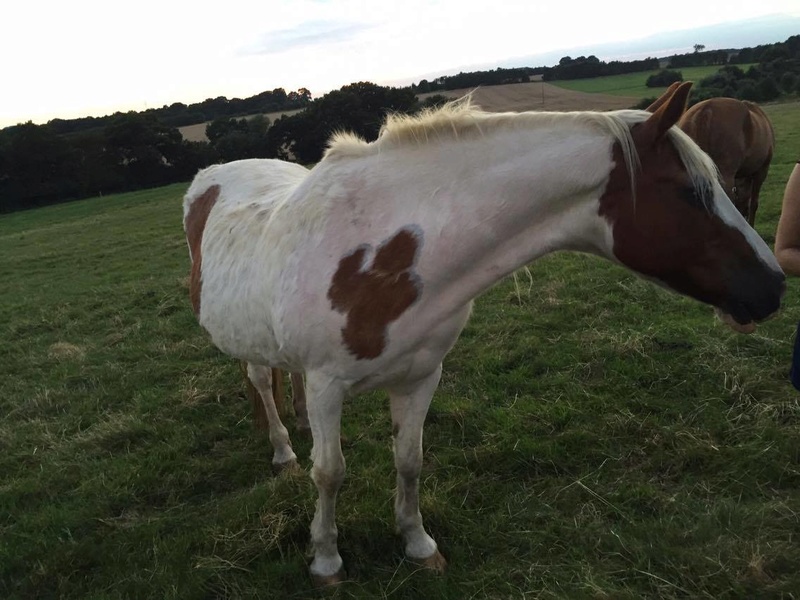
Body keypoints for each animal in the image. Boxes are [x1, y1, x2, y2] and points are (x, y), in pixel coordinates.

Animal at [184, 84, 784, 584]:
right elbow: (330, 473)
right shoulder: (327, 385)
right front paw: (327, 560)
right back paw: (283, 448)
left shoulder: (420, 376)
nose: (774, 285)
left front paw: (418, 545)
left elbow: (409, 459)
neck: (386, 252)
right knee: (261, 381)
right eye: (689, 192)